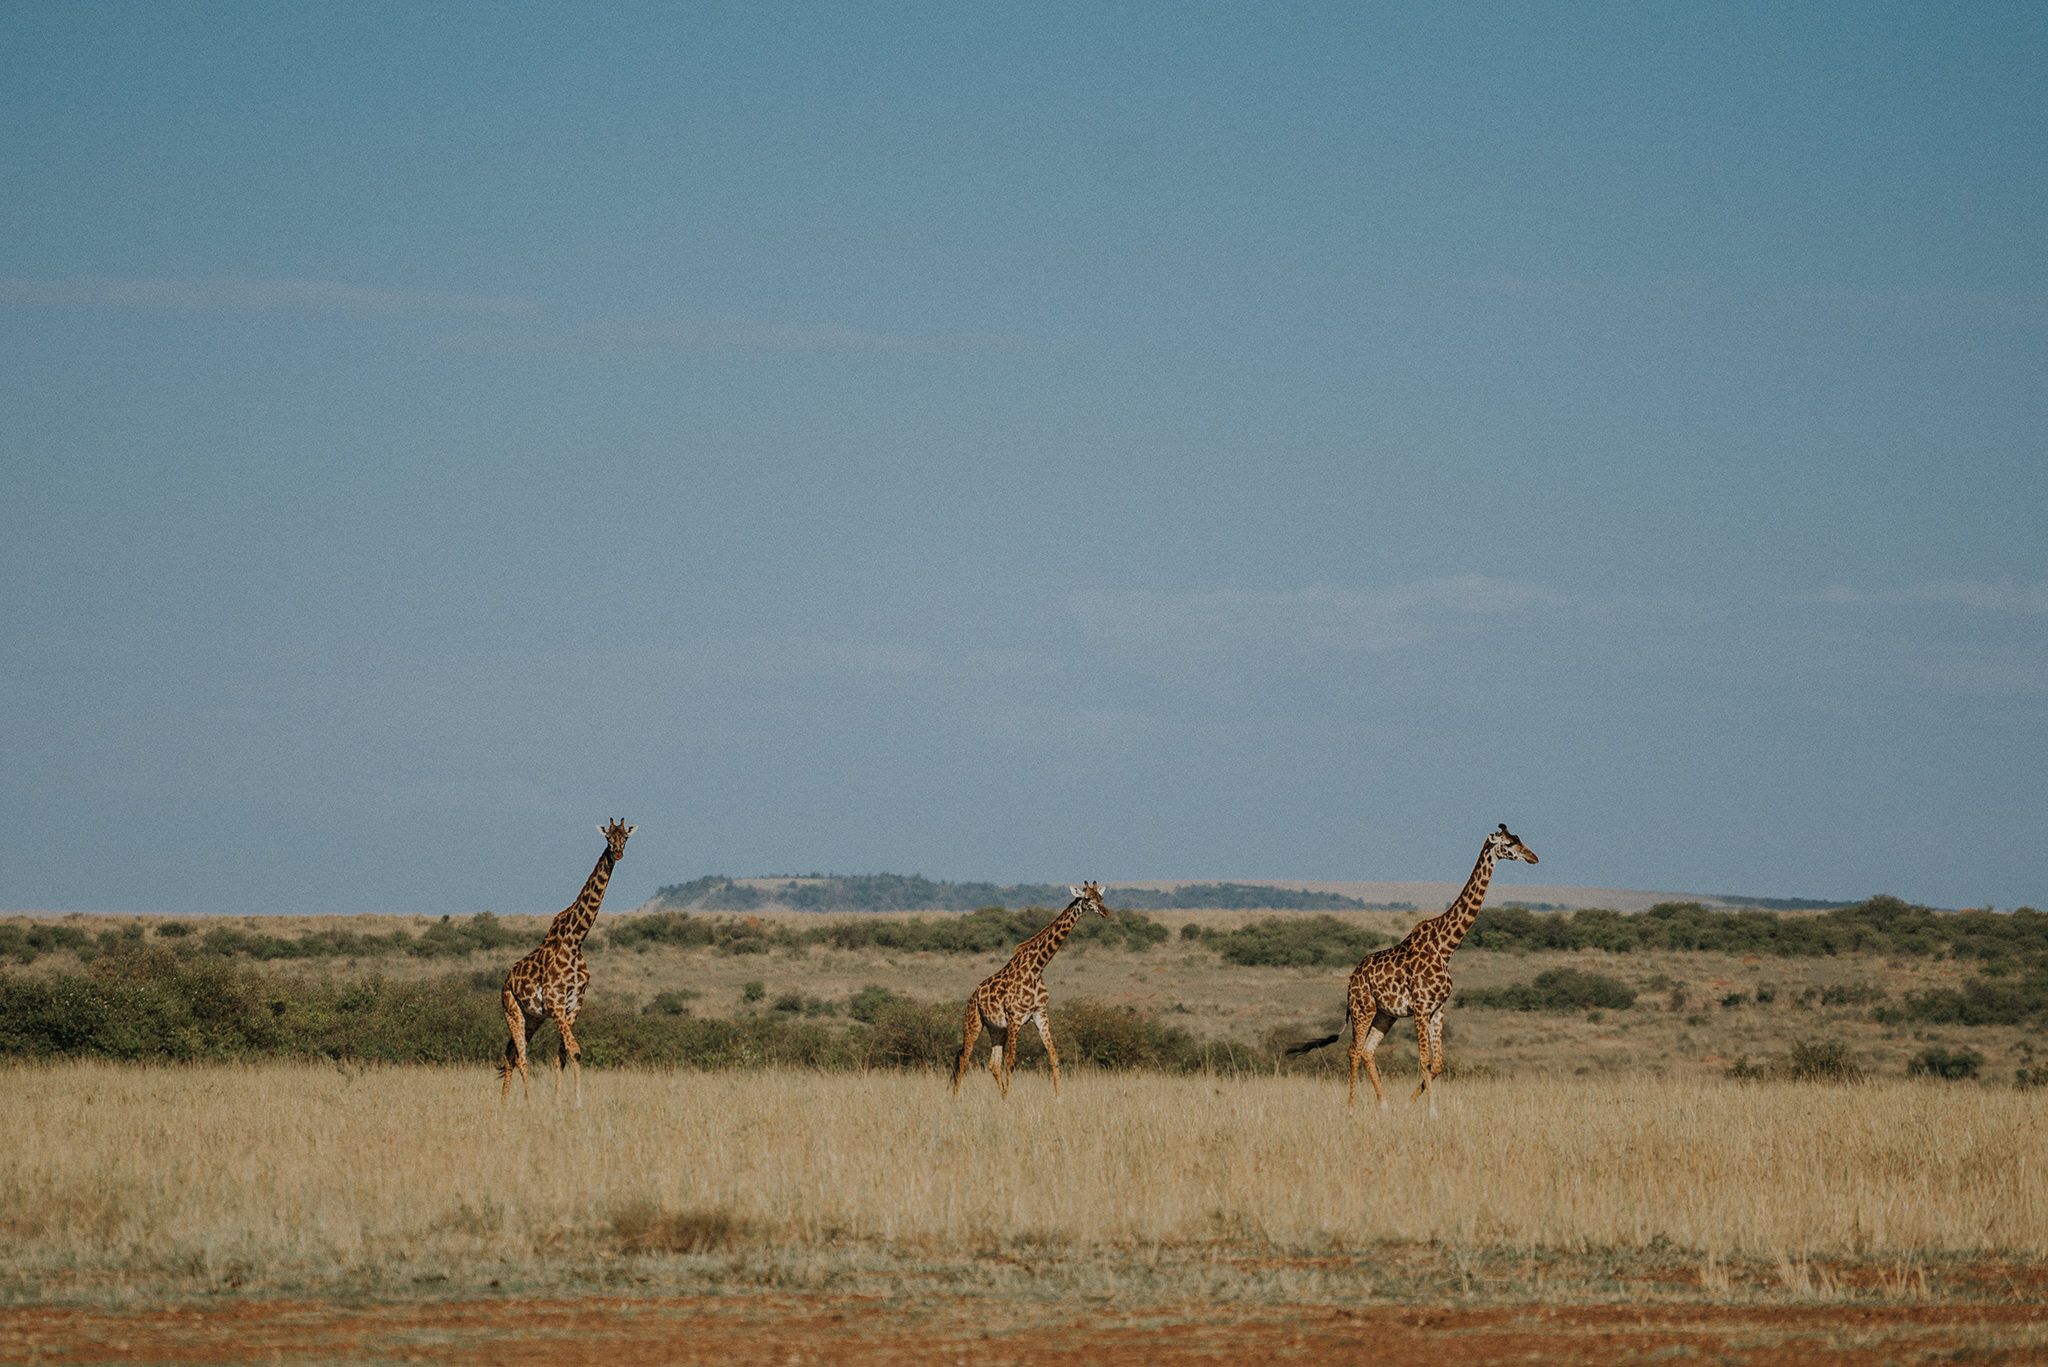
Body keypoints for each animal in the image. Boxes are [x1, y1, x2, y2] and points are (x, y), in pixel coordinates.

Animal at [497, 819, 630, 1106]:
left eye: (625, 837)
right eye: (608, 838)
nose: (617, 853)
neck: (575, 940)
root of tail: (506, 981)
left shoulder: (573, 1005)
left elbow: (563, 1055)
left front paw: (560, 1100)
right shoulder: (556, 1003)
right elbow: (575, 1051)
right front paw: (577, 1101)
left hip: (532, 1017)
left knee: (510, 1053)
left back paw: (504, 1101)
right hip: (512, 1009)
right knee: (521, 1056)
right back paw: (529, 1101)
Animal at [954, 889, 1114, 1098]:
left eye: (1101, 897)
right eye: (1087, 898)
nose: (1105, 912)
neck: (1036, 968)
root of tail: (974, 996)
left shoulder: (1040, 1014)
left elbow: (1054, 1058)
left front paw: (1059, 1097)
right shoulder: (1014, 1017)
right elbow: (1010, 1063)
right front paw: (1009, 1098)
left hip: (996, 1028)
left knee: (993, 1063)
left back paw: (999, 1095)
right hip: (974, 1022)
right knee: (964, 1058)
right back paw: (955, 1097)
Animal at [1277, 823, 1540, 1114]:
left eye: (1519, 839)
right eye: (1509, 843)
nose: (1534, 857)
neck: (1446, 946)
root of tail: (1351, 979)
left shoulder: (1438, 1008)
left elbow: (1438, 1063)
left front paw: (1406, 1105)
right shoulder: (1421, 1007)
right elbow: (1425, 1059)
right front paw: (1432, 1110)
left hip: (1384, 1014)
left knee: (1368, 1050)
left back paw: (1383, 1104)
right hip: (1362, 1008)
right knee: (1354, 1050)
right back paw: (1351, 1107)